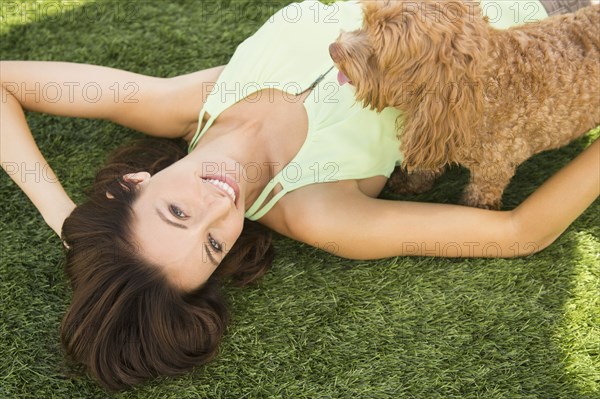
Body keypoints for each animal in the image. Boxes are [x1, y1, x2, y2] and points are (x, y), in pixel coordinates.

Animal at [328, 1, 600, 209]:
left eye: (379, 52)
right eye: (366, 23)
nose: (333, 48)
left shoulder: (493, 171)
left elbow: (477, 200)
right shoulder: (435, 131)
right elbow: (425, 167)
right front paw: (408, 183)